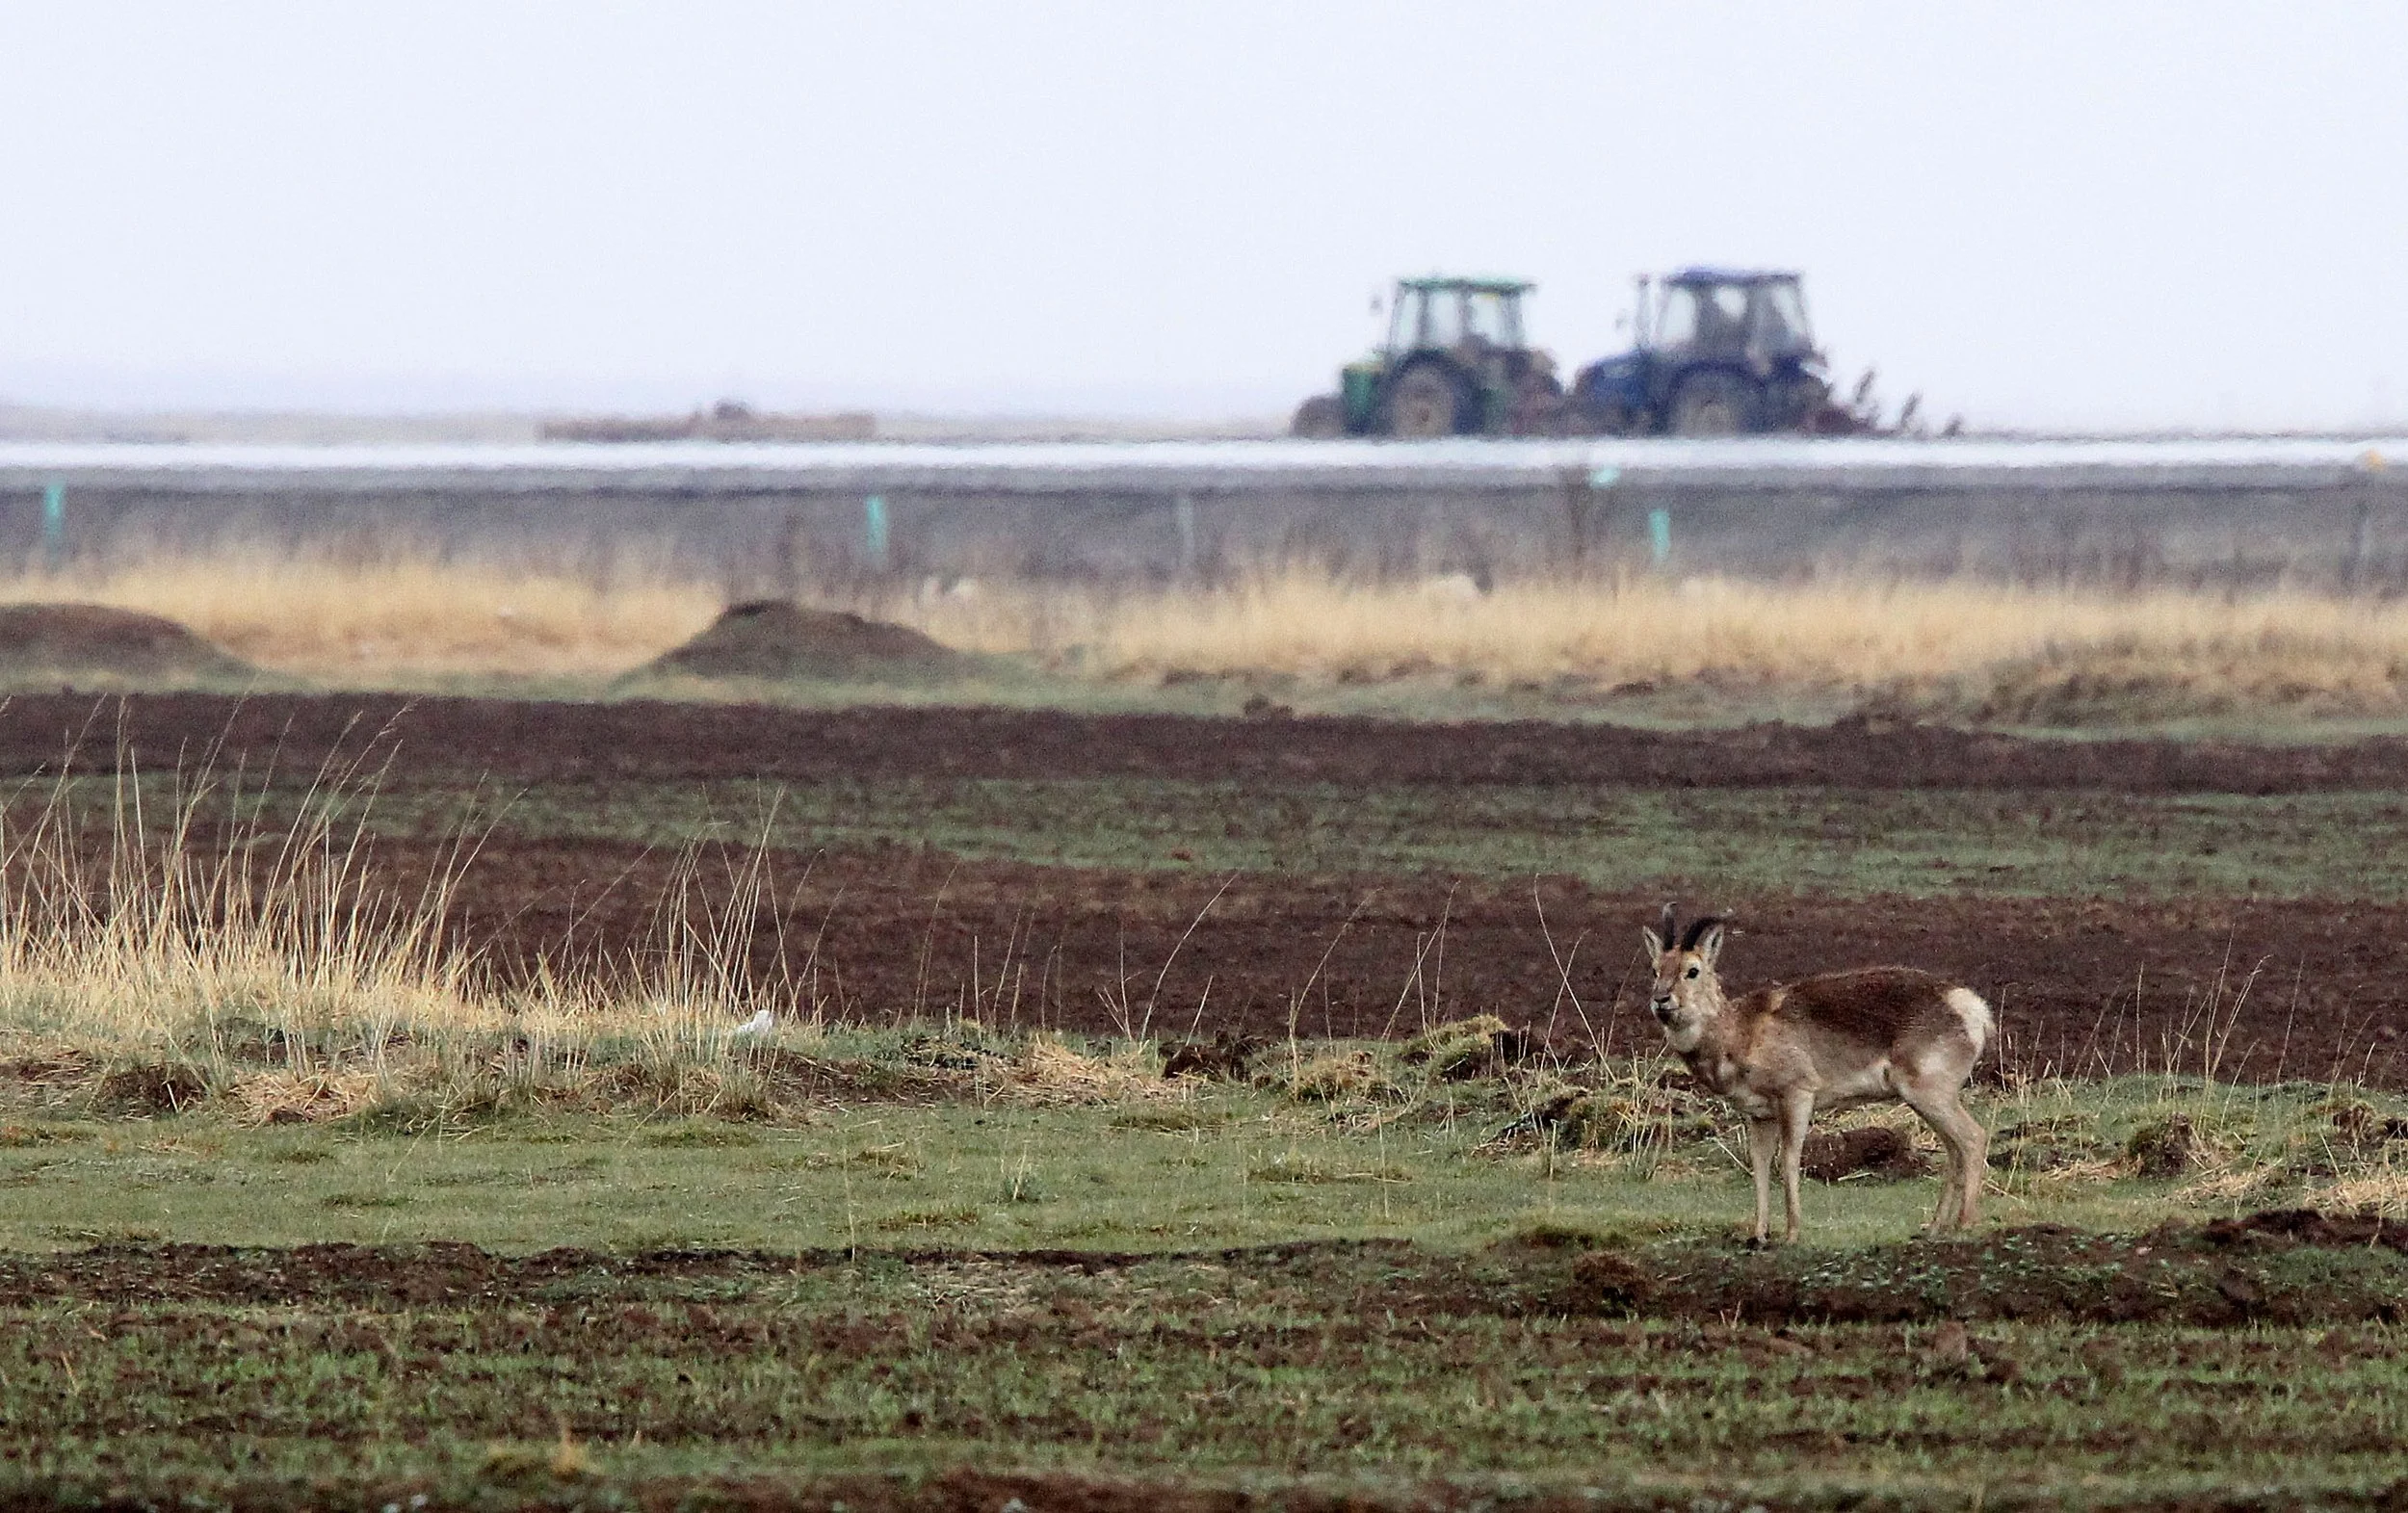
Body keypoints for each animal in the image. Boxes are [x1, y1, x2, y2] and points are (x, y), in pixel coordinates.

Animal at [1642, 906, 1993, 1244]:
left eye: (1692, 970)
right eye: (1656, 969)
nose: (1660, 1000)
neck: (1742, 1031)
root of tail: (1971, 1006)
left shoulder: (1797, 1095)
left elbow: (1789, 1160)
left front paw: (1792, 1234)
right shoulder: (1760, 1116)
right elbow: (1760, 1166)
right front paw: (1758, 1235)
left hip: (1930, 1094)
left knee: (1973, 1138)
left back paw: (1964, 1224)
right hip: (1925, 1101)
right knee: (1954, 1148)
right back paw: (1933, 1228)